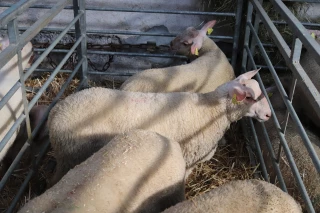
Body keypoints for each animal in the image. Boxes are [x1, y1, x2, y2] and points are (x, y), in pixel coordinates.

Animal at [48, 68, 270, 185]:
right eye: (249, 97)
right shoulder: (188, 159)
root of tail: (56, 114)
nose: (268, 115)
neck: (212, 111)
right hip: (73, 156)